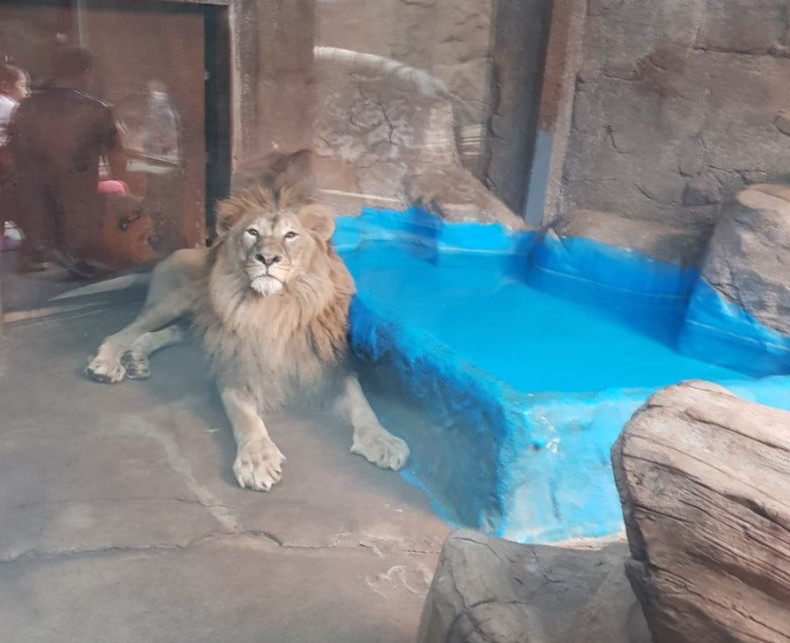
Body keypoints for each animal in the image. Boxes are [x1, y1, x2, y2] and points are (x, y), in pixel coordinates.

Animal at [85, 169, 408, 490]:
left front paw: (384, 441)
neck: (274, 310)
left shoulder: (330, 367)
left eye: (290, 235)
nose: (267, 258)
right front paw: (257, 460)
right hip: (179, 300)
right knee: (124, 332)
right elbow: (245, 418)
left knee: (166, 333)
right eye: (253, 232)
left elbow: (362, 404)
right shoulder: (235, 366)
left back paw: (136, 359)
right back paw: (108, 363)